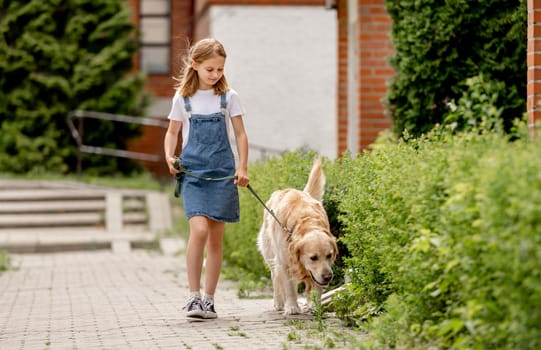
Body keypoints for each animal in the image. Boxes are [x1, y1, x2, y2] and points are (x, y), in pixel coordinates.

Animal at [258, 160, 338, 316]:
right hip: (271, 254)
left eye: (329, 255)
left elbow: (316, 287)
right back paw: (278, 303)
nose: (328, 277)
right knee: (275, 277)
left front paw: (315, 306)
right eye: (313, 257)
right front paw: (292, 307)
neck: (306, 222)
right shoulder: (284, 262)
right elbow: (288, 286)